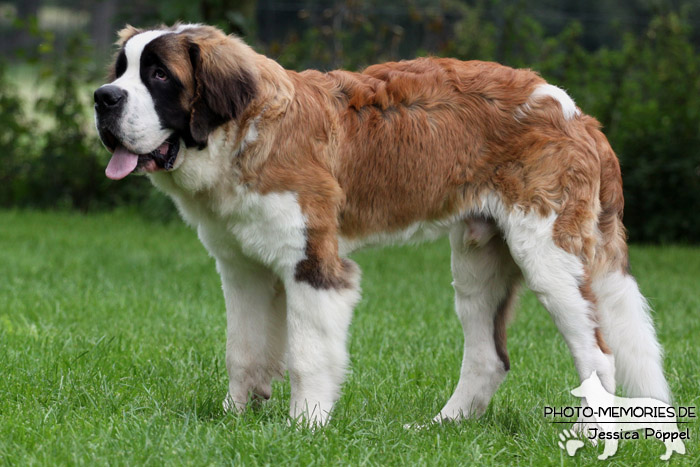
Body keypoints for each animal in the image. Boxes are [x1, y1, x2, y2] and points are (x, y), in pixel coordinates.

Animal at [94, 22, 672, 428]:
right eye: (120, 70)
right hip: (478, 262)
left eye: (159, 76)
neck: (245, 131)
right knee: (489, 358)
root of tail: (577, 115)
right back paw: (441, 427)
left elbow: (307, 354)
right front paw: (235, 419)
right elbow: (244, 350)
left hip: (549, 257)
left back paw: (588, 436)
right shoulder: (242, 270)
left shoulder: (314, 266)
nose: (103, 97)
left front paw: (304, 427)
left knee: (597, 354)